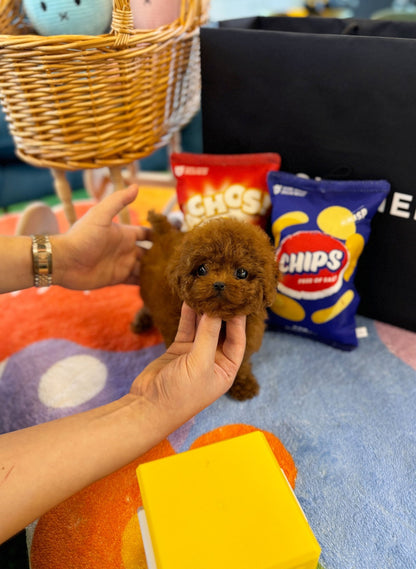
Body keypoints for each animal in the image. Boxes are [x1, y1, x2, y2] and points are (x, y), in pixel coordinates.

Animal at [132, 210, 278, 400]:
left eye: (241, 272)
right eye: (202, 269)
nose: (219, 284)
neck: (223, 320)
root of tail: (165, 232)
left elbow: (241, 363)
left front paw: (244, 384)